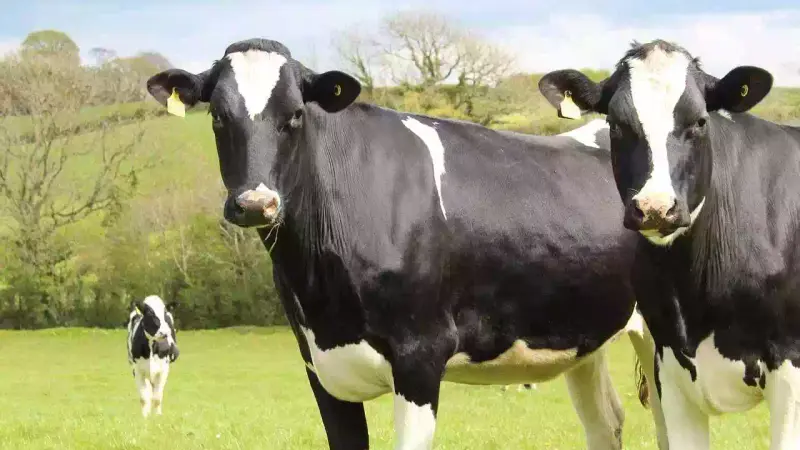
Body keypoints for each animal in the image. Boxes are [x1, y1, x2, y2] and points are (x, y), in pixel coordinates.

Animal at [146, 38, 661, 450]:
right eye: (217, 116)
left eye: (294, 115)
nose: (256, 203)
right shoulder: (320, 367)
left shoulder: (420, 354)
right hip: (585, 335)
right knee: (606, 422)